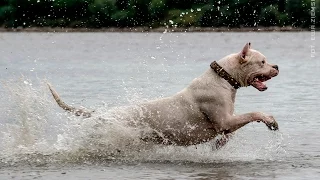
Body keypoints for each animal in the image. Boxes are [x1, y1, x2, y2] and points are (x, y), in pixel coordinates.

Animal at [47, 42, 278, 148]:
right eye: (262, 62)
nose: (276, 66)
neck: (223, 78)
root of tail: (100, 114)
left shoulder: (227, 123)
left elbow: (231, 132)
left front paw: (219, 145)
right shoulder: (225, 121)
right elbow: (253, 114)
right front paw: (270, 120)